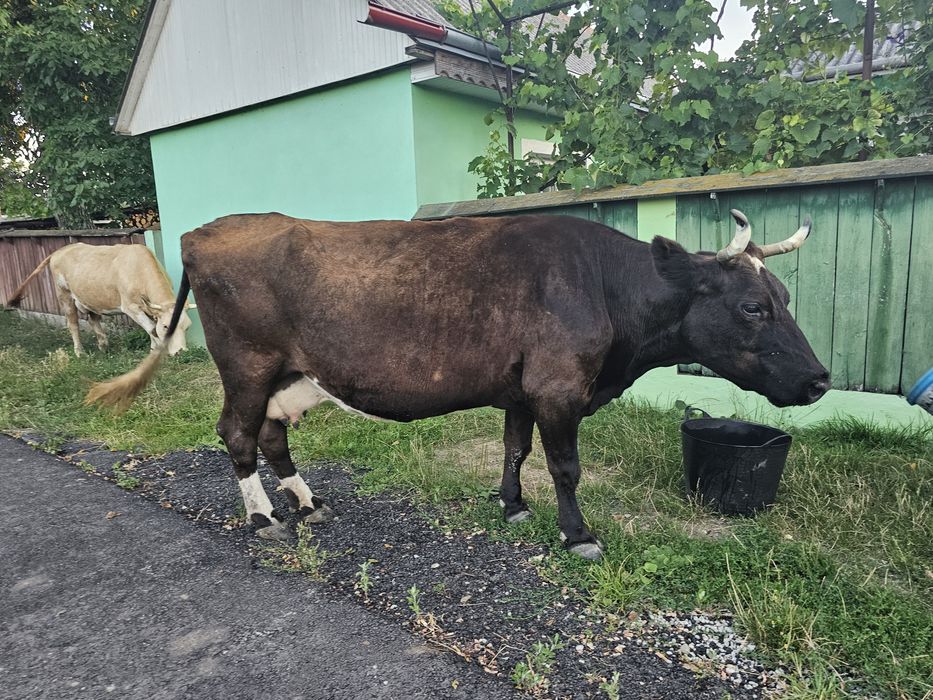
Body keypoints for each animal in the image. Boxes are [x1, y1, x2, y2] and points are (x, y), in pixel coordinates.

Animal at [6, 243, 192, 357]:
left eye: (187, 326)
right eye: (166, 326)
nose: (181, 351)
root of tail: (61, 250)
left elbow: (151, 328)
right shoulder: (130, 307)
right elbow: (152, 329)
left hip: (90, 298)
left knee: (93, 320)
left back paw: (103, 346)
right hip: (64, 295)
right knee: (73, 323)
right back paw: (79, 352)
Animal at [86, 211, 828, 559]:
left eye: (786, 296)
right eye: (752, 307)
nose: (820, 379)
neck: (604, 289)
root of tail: (206, 231)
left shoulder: (522, 388)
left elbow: (515, 450)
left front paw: (511, 505)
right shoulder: (559, 387)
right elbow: (565, 466)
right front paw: (578, 535)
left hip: (290, 373)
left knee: (271, 433)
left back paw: (309, 502)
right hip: (246, 363)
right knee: (236, 433)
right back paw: (264, 517)